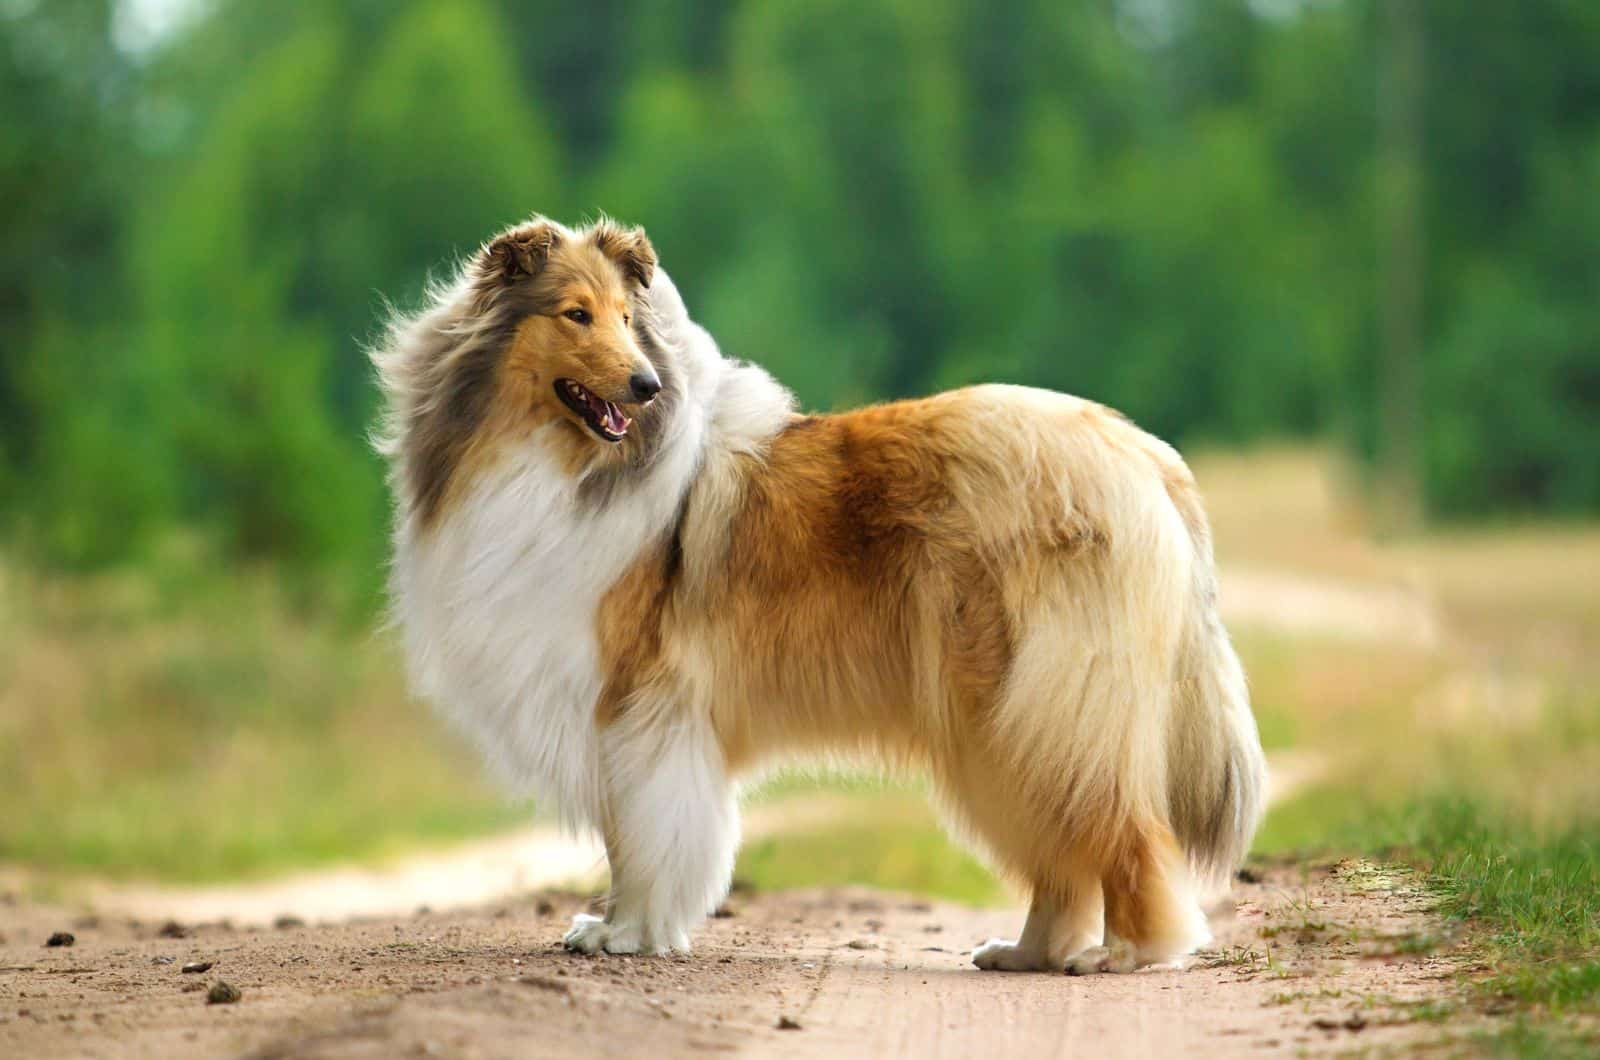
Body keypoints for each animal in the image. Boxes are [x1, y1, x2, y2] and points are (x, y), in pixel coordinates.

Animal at [374, 216, 1260, 979]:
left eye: (628, 317)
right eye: (576, 314)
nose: (647, 385)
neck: (553, 461)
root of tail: (1142, 453)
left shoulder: (638, 706)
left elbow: (645, 835)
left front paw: (627, 932)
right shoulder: (622, 716)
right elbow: (628, 836)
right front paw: (620, 925)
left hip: (1039, 708)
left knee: (1122, 833)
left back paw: (1127, 953)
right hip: (1004, 721)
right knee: (1061, 856)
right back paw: (1025, 952)